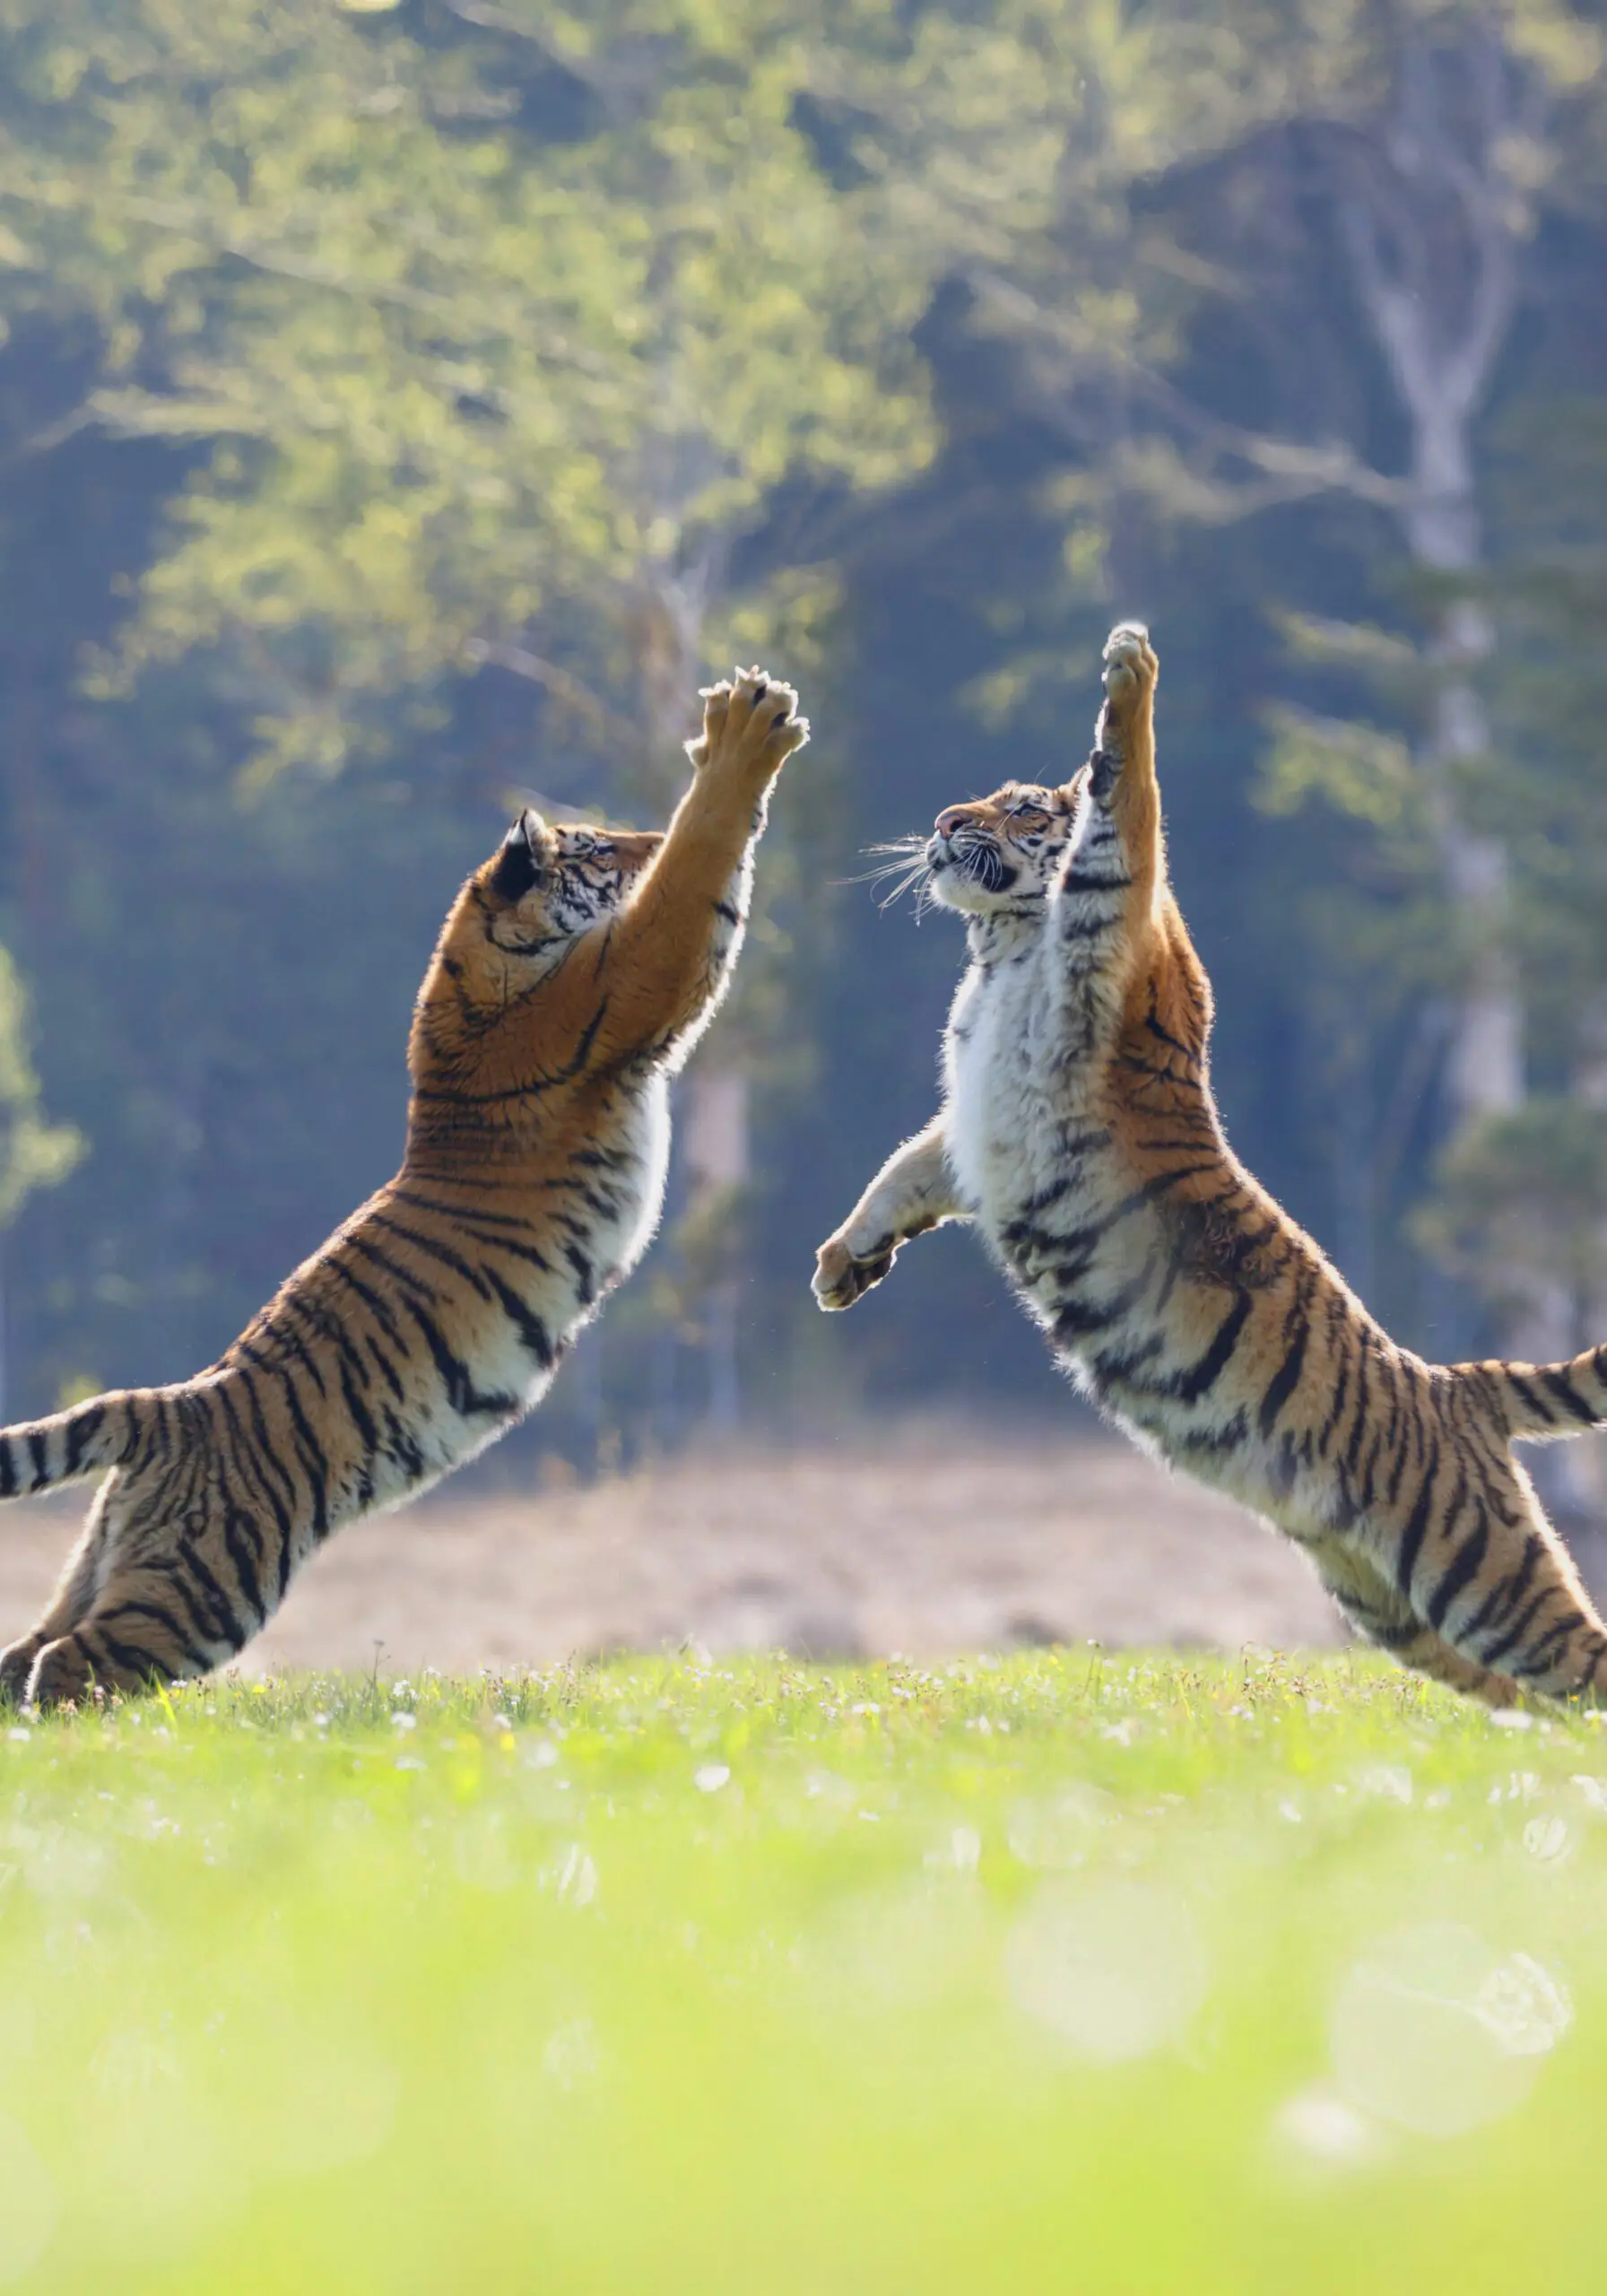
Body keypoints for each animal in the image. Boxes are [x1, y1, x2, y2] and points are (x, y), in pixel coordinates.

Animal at [0, 666, 807, 1706]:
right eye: (598, 850)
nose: (635, 841)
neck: (479, 957)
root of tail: (167, 1406)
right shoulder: (636, 976)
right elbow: (701, 870)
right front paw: (743, 735)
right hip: (202, 1588)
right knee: (68, 1665)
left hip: (115, 1558)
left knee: (28, 1649)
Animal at [815, 623, 1607, 1708]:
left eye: (1022, 809)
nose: (941, 821)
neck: (1002, 945)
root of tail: (1455, 1386)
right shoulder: (968, 1124)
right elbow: (899, 1173)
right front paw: (843, 1265)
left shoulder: (1109, 920)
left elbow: (1129, 800)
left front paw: (1130, 671)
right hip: (1401, 1608)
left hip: (1488, 1580)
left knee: (1583, 1662)